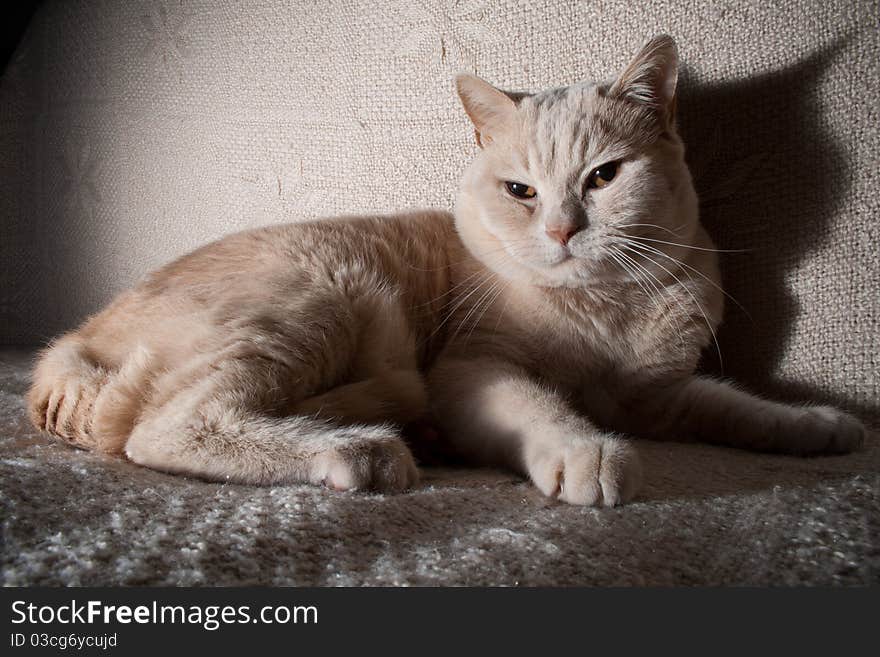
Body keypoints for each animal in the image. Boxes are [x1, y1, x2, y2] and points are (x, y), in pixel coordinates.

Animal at [29, 36, 868, 504]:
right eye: (521, 191)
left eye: (603, 176)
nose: (563, 229)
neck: (604, 311)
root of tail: (77, 336)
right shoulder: (474, 370)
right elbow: (542, 408)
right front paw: (585, 451)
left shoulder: (659, 398)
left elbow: (738, 405)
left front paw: (817, 423)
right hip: (316, 301)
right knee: (162, 426)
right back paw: (357, 450)